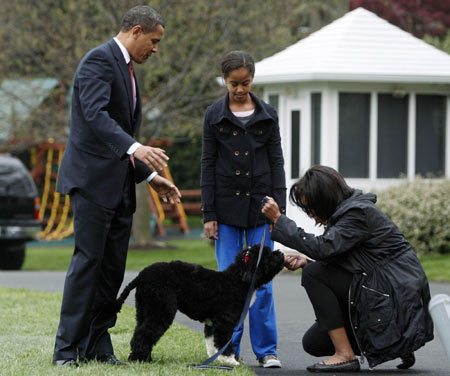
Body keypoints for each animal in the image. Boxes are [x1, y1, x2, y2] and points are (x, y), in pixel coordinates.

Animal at [114, 244, 284, 364]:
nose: (281, 253)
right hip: (161, 310)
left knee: (139, 331)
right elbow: (224, 343)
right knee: (143, 334)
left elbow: (212, 344)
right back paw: (140, 359)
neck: (237, 280)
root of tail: (142, 276)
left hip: (144, 309)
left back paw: (142, 358)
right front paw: (230, 361)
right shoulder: (224, 323)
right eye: (267, 255)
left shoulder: (212, 324)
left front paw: (216, 360)